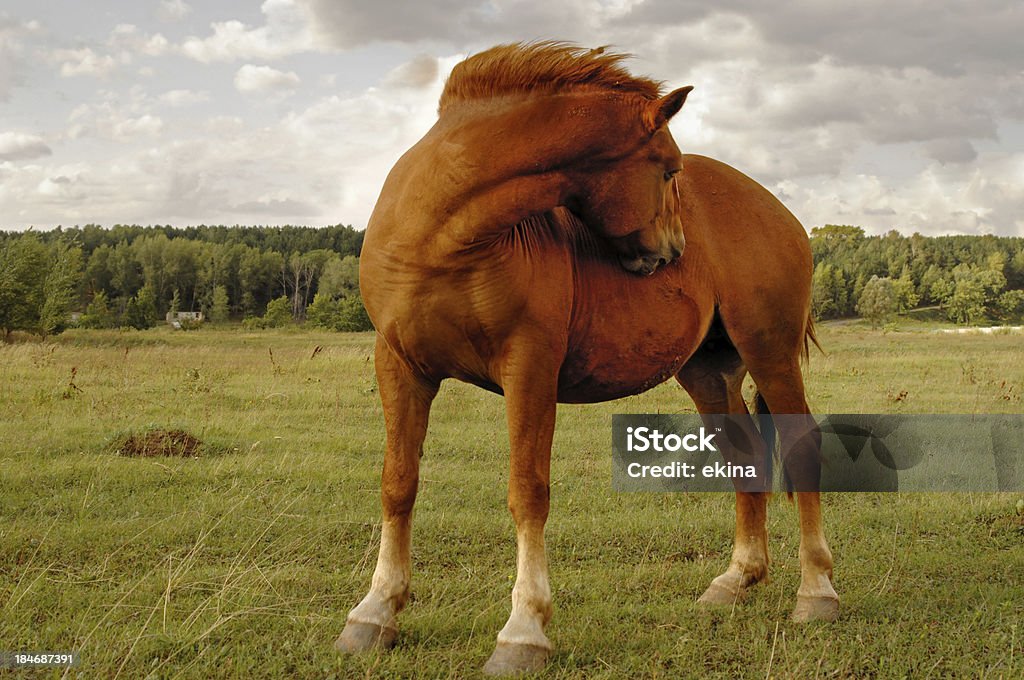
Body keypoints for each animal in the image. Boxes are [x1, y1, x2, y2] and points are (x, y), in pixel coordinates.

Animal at [339, 42, 835, 675]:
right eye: (668, 169)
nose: (673, 251)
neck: (441, 238)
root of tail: (780, 211)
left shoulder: (529, 370)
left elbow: (528, 492)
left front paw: (523, 631)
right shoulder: (401, 368)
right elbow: (398, 484)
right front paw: (374, 613)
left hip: (769, 351)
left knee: (801, 446)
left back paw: (816, 592)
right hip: (708, 371)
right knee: (745, 458)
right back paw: (735, 581)